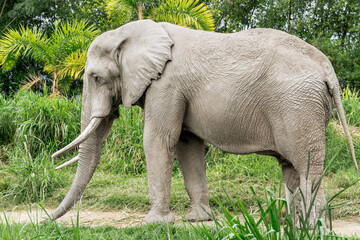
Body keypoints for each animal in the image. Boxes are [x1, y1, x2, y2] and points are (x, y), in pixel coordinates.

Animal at [50, 19, 358, 224]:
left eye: (96, 78)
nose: (46, 218)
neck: (132, 33)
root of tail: (327, 67)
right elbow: (187, 145)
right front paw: (197, 220)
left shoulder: (166, 84)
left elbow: (158, 140)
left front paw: (154, 224)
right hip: (302, 107)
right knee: (291, 166)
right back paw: (293, 226)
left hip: (298, 107)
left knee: (306, 166)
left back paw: (313, 229)